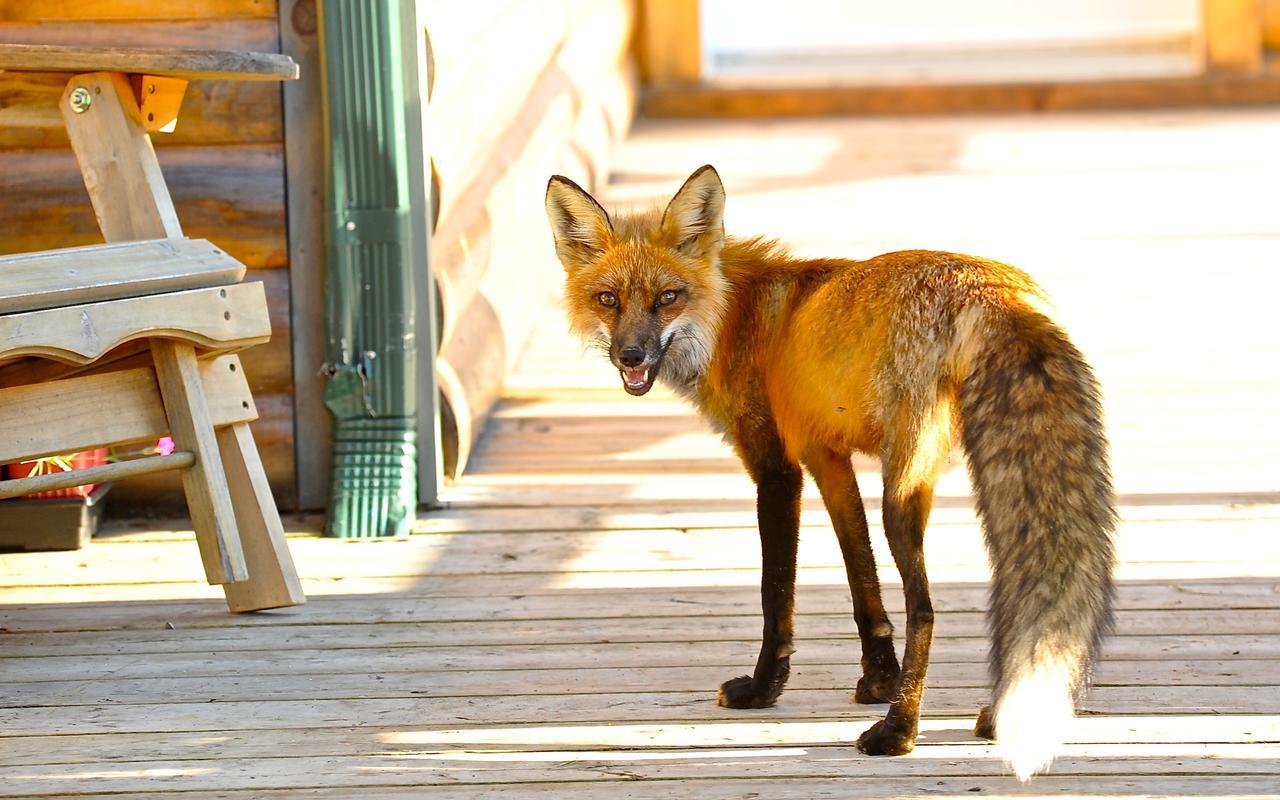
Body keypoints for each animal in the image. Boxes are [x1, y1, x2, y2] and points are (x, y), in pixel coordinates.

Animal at [545, 163, 1116, 778]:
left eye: (667, 298)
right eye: (608, 299)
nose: (630, 356)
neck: (734, 319)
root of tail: (993, 289)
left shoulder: (776, 467)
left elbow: (776, 594)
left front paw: (764, 689)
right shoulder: (826, 458)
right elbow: (861, 577)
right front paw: (878, 678)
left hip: (904, 487)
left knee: (926, 610)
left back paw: (898, 731)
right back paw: (986, 715)